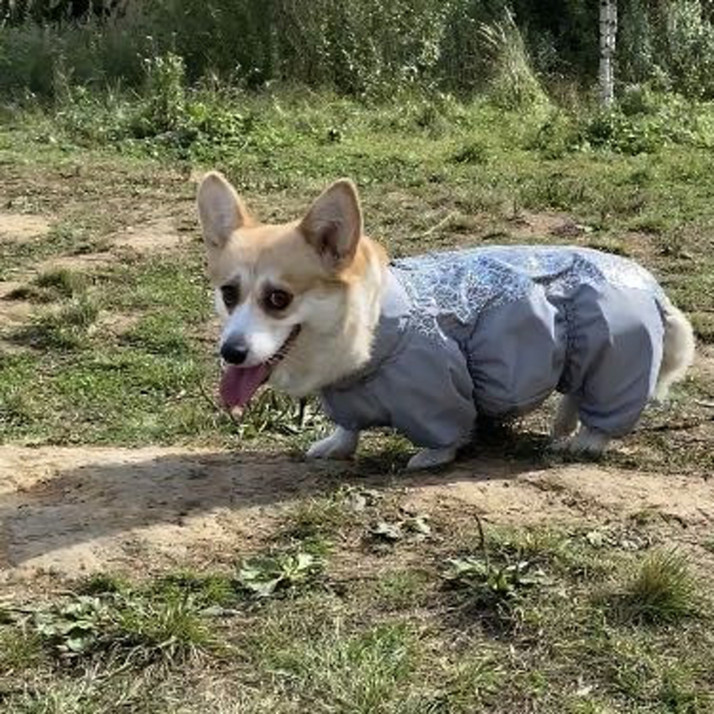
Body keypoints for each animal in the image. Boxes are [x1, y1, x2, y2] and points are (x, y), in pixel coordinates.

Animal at [197, 173, 696, 470]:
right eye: (228, 294)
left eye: (278, 299)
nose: (230, 352)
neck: (376, 328)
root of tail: (651, 285)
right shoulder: (347, 395)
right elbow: (347, 425)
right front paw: (336, 445)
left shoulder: (436, 393)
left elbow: (446, 432)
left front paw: (431, 456)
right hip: (585, 354)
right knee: (576, 392)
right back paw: (562, 429)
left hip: (615, 356)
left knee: (607, 411)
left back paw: (586, 442)